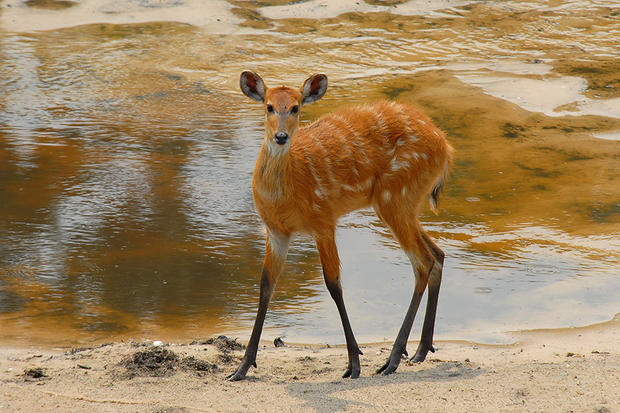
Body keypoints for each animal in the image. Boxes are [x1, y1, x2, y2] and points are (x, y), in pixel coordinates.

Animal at [228, 71, 450, 380]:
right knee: (438, 253)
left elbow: (333, 284)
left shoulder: (323, 219)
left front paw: (354, 363)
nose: (281, 136)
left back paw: (393, 358)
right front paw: (242, 367)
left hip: (395, 196)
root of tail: (446, 147)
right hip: (404, 203)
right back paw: (420, 350)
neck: (287, 195)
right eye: (269, 106)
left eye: (296, 107)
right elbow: (265, 286)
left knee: (422, 261)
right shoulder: (275, 231)